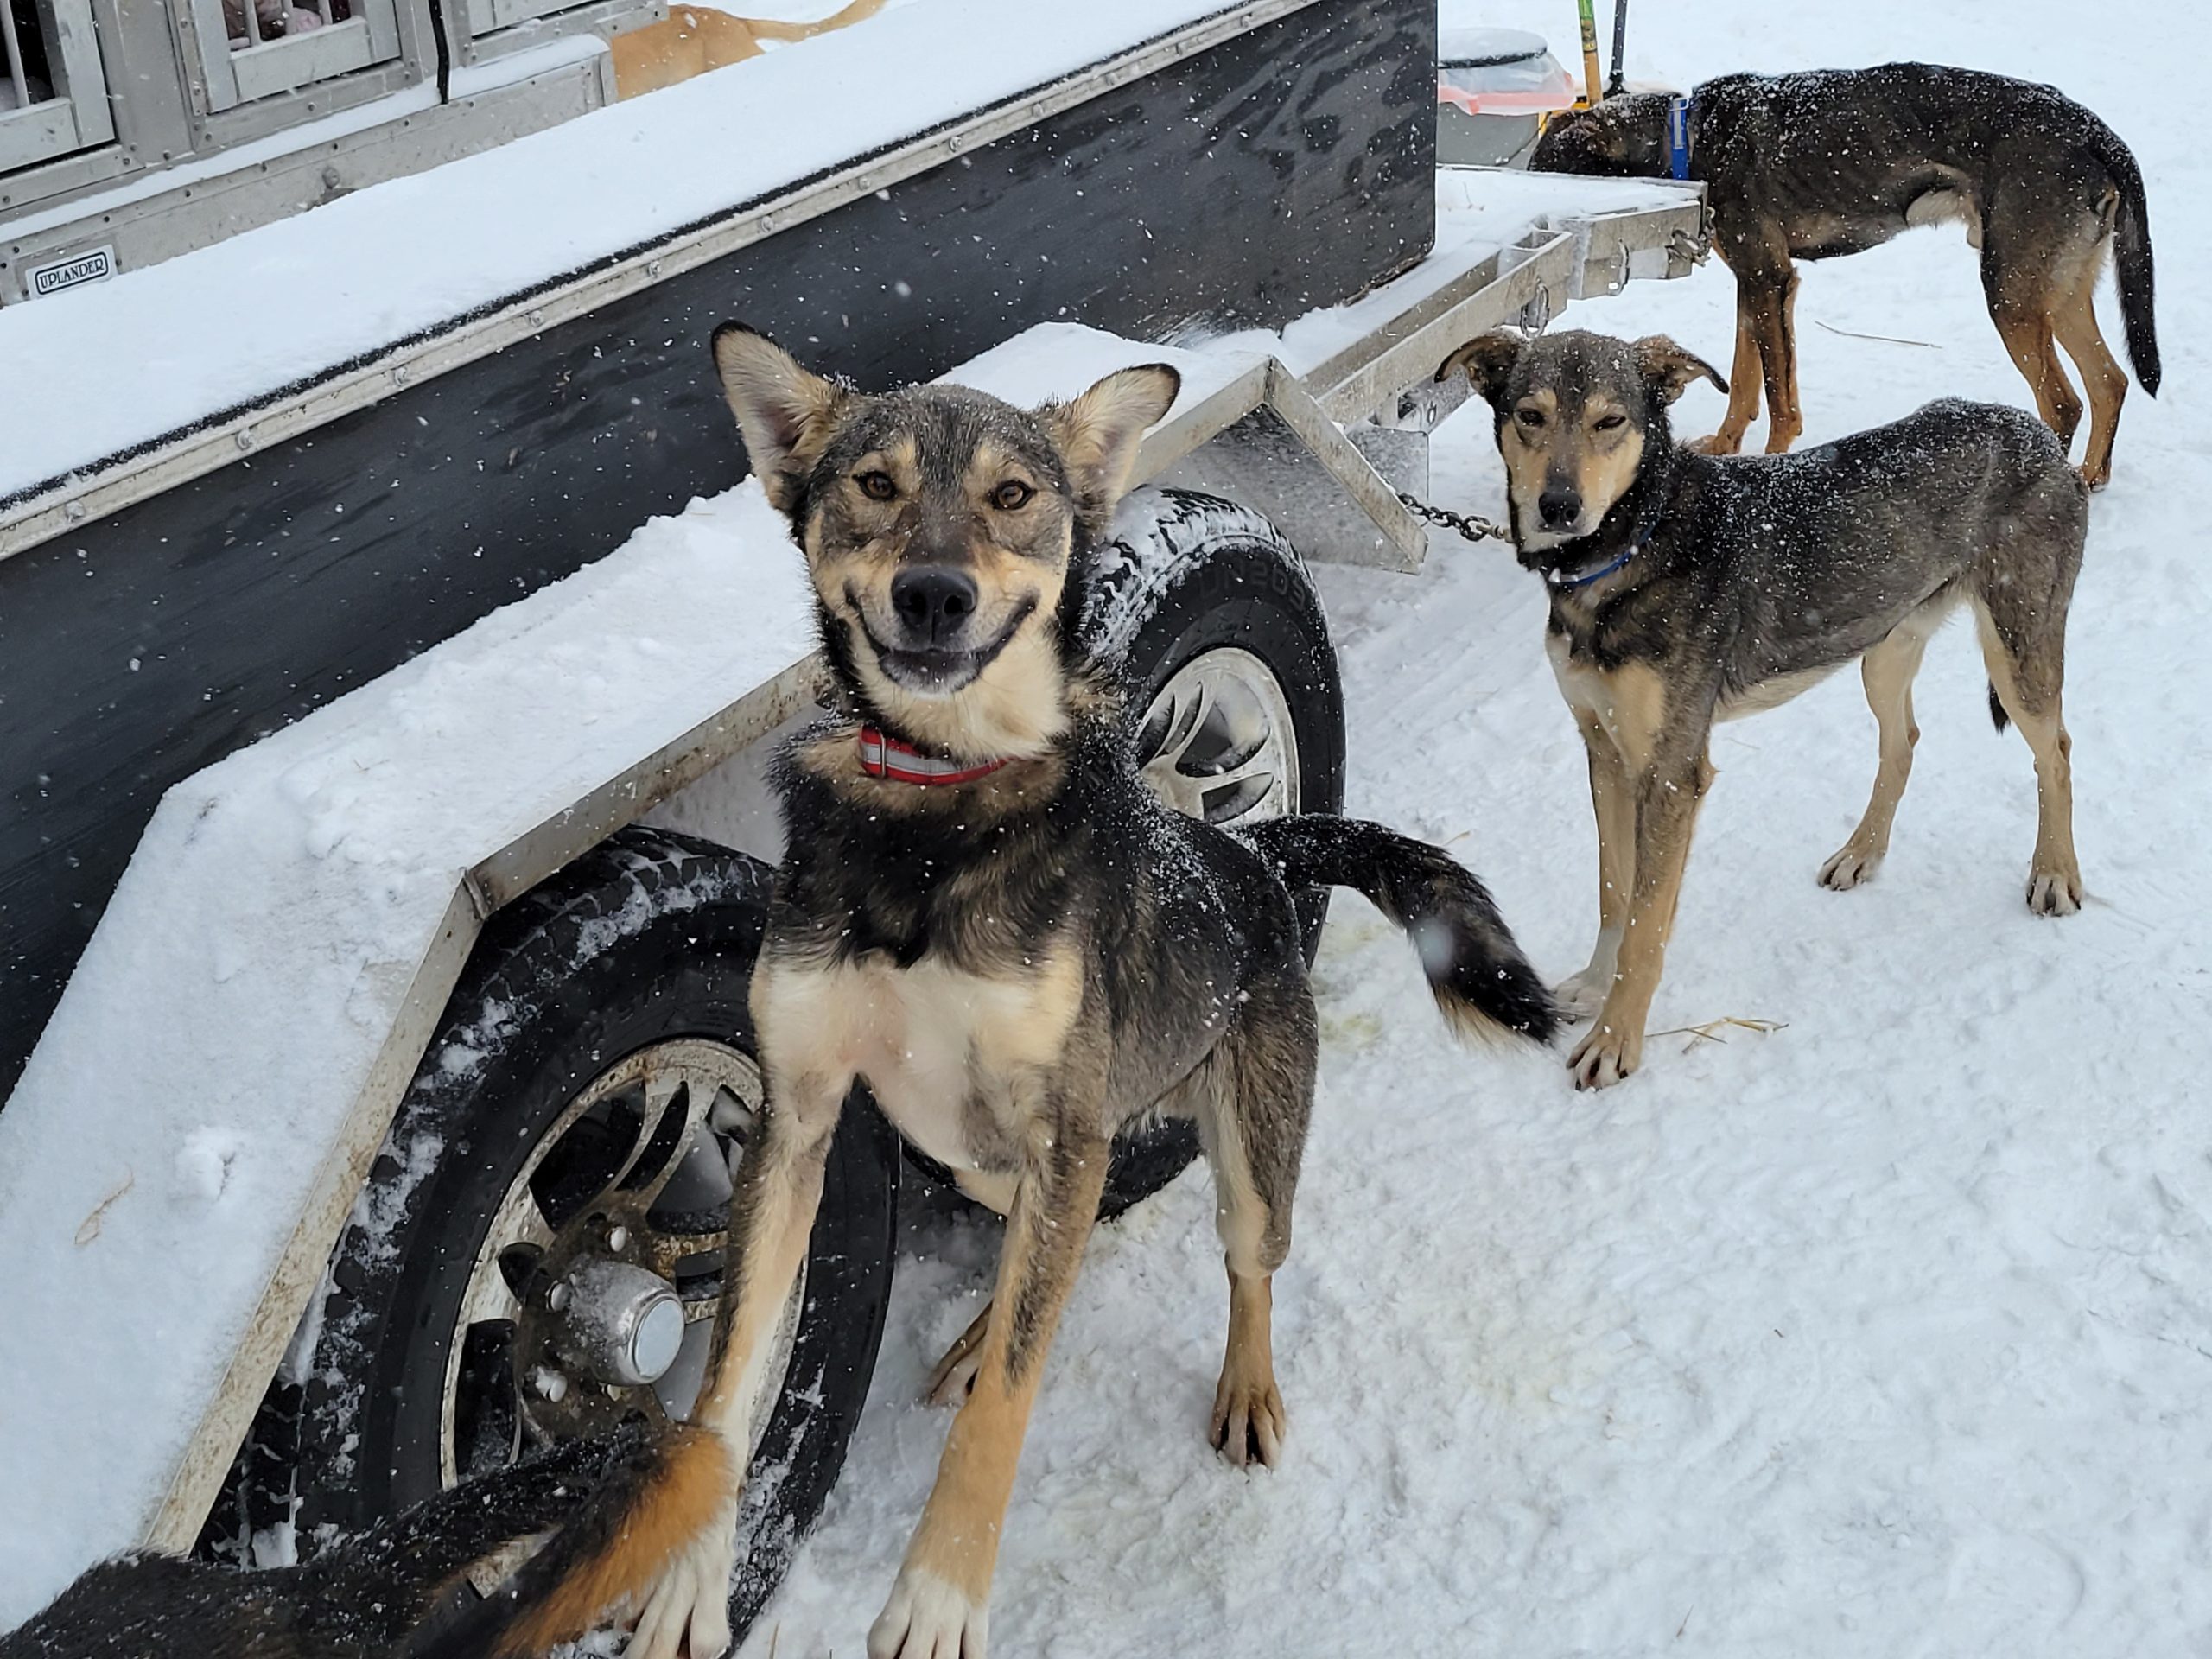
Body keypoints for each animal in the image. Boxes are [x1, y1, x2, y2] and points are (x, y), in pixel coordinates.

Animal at [611, 325, 1562, 1659]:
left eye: (1014, 496)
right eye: (875, 485)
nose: (935, 594)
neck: (936, 812)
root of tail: (1255, 858)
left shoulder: (1061, 1124)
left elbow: (1008, 1408)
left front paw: (939, 1594)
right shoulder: (798, 1119)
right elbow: (731, 1376)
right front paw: (692, 1577)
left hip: (1246, 1152)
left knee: (1244, 1269)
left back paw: (1244, 1388)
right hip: (975, 1153)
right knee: (1050, 1247)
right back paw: (973, 1334)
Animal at [1436, 327, 2088, 1091]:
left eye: (1609, 421)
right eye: (1529, 417)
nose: (1559, 506)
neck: (1636, 542)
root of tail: (2035, 431)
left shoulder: (1672, 774)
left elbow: (1646, 925)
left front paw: (1617, 1039)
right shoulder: (1605, 752)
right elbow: (1613, 892)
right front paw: (1597, 987)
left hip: (2019, 653)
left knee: (2056, 752)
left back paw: (2055, 874)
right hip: (1880, 651)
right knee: (1903, 742)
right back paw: (1861, 854)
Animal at [1530, 63, 2158, 488]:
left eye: (1544, 171)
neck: (1687, 138)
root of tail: (2092, 131)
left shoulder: (1768, 279)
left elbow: (1778, 399)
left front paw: (1771, 463)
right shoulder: (1758, 285)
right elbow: (1745, 380)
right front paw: (1725, 445)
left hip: (2012, 296)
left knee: (2065, 403)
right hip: (2056, 291)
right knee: (2110, 382)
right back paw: (2089, 479)